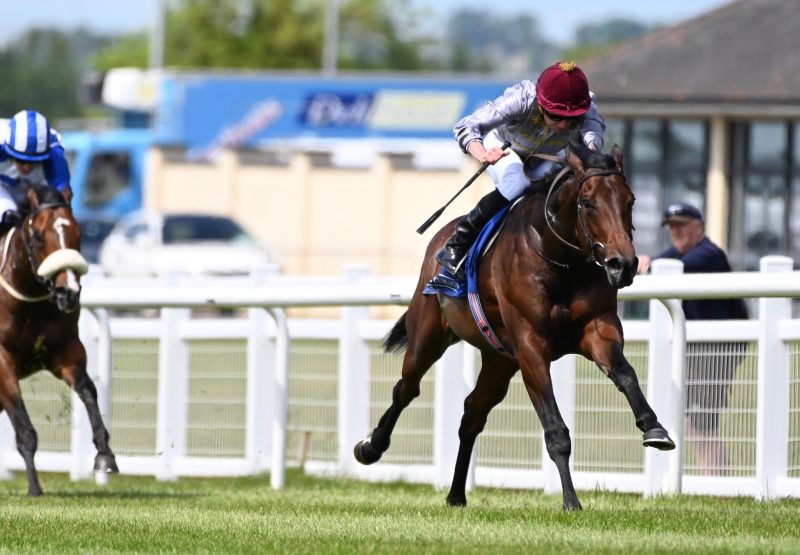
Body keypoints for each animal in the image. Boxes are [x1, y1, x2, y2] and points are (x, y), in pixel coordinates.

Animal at [0, 184, 118, 496]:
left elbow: (88, 391)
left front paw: (105, 456)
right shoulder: (3, 362)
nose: (69, 292)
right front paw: (34, 488)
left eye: (78, 234)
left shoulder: (67, 353)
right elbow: (24, 429)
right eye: (39, 237)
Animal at [356, 137, 676, 510]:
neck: (562, 263)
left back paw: (456, 494)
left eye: (630, 201)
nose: (622, 264)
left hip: (499, 360)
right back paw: (370, 447)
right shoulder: (531, 348)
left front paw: (654, 428)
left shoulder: (598, 330)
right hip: (429, 336)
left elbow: (625, 373)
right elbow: (556, 431)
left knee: (472, 414)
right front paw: (571, 502)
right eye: (587, 202)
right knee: (406, 388)